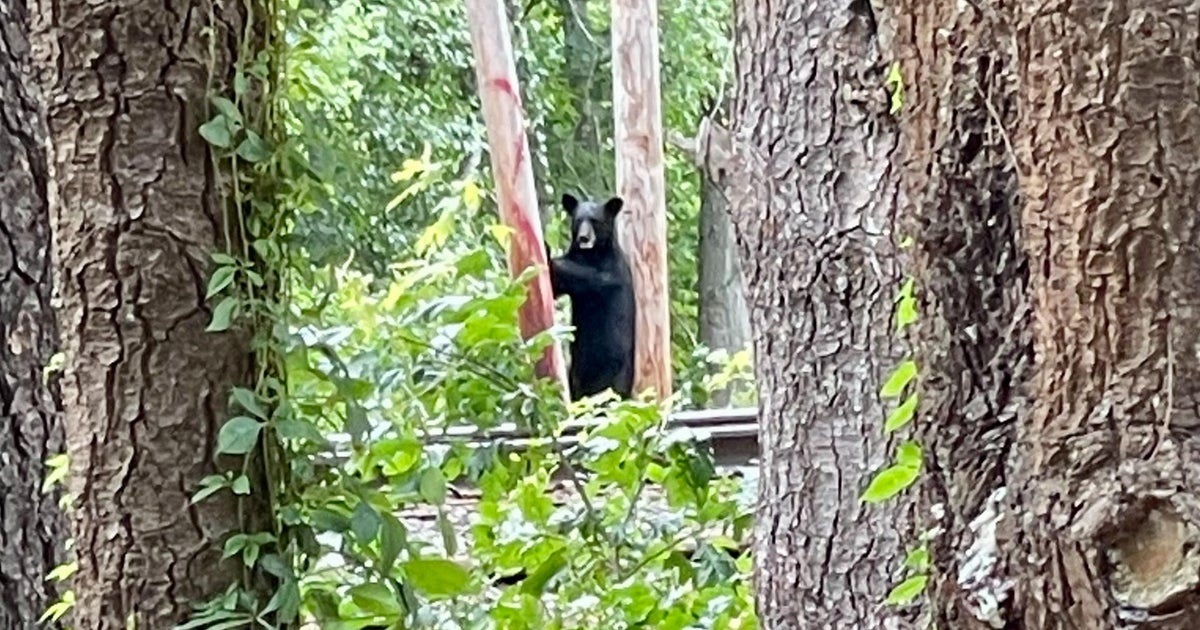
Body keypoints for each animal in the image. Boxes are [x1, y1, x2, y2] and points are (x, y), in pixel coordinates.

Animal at [544, 193, 637, 401]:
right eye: (578, 220)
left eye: (595, 221)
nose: (583, 238)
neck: (591, 254)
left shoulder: (609, 273)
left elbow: (580, 277)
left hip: (614, 373)